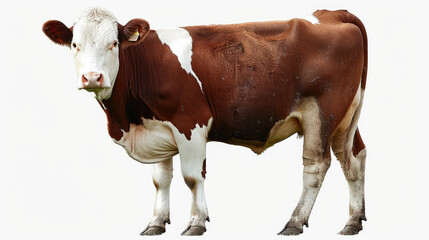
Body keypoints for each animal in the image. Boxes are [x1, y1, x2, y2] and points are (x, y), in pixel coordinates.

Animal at [41, 7, 366, 236]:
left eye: (113, 43)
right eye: (74, 44)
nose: (92, 77)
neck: (129, 121)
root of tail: (333, 13)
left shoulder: (191, 123)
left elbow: (192, 177)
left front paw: (197, 222)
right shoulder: (156, 128)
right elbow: (160, 179)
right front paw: (156, 223)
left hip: (321, 113)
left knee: (316, 165)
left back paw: (295, 222)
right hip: (347, 117)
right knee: (353, 158)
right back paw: (353, 221)